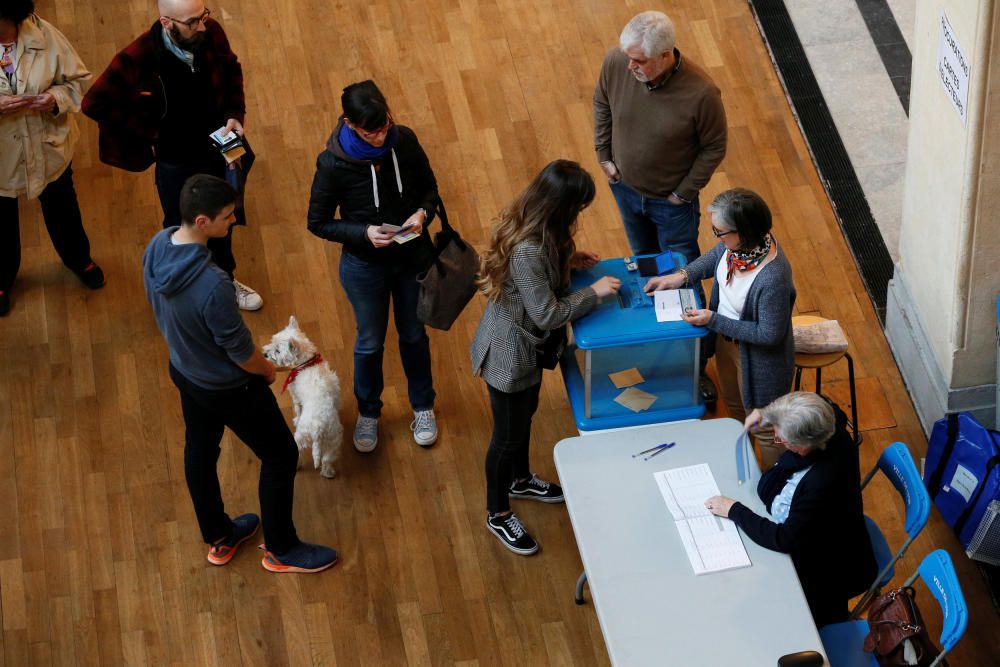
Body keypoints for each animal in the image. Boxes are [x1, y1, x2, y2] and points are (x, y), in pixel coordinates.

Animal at [262, 318, 344, 480]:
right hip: (334, 440)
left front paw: (296, 419)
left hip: (301, 436)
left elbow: (298, 409)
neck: (307, 363)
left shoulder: (295, 395)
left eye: (278, 350)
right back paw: (328, 473)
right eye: (273, 341)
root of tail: (318, 429)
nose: (264, 354)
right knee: (326, 459)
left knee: (297, 451)